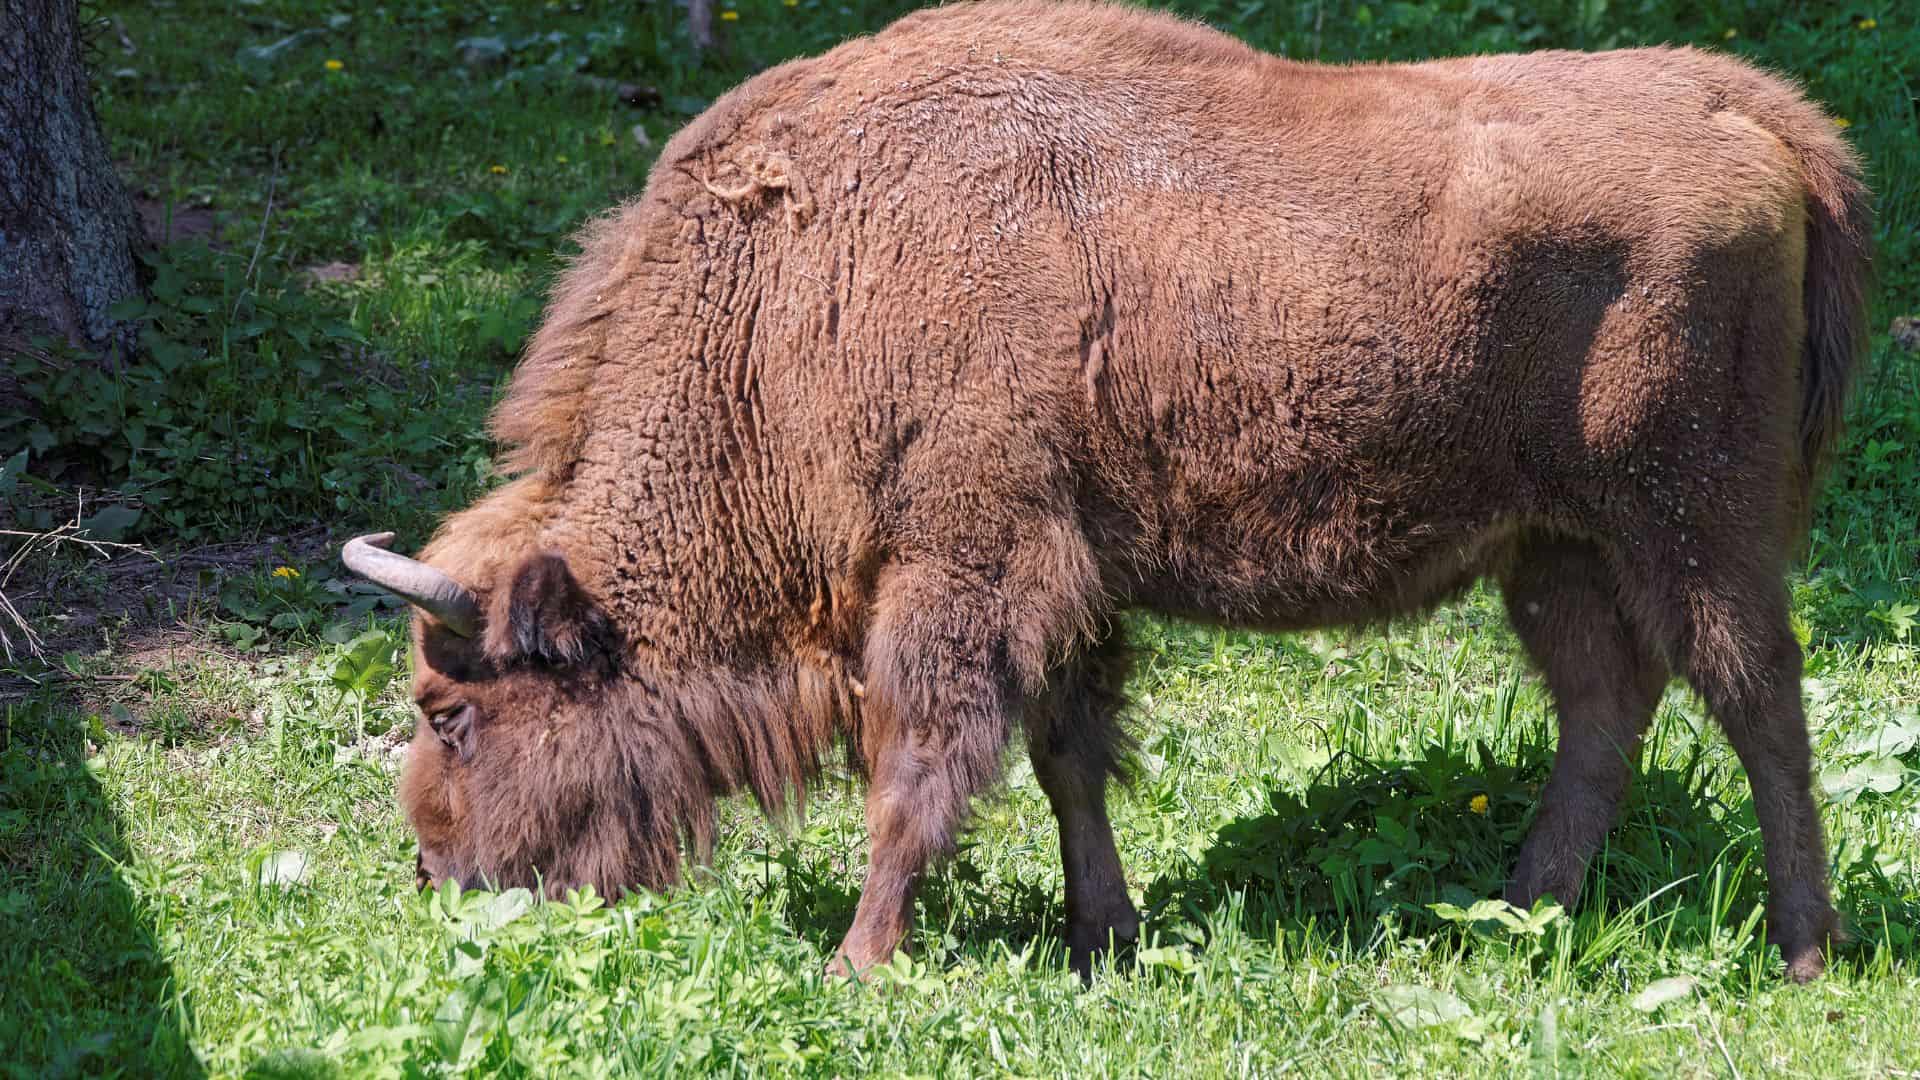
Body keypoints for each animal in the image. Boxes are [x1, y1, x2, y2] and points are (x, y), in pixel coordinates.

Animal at [341, 0, 1858, 976]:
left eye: (451, 713)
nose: (433, 874)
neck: (798, 289)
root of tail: (1748, 109)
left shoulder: (961, 572)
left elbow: (922, 768)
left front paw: (860, 960)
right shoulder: (1063, 585)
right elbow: (1066, 753)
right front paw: (1103, 935)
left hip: (1693, 526)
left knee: (1758, 704)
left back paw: (1803, 949)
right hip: (1556, 547)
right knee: (1607, 708)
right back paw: (1521, 922)